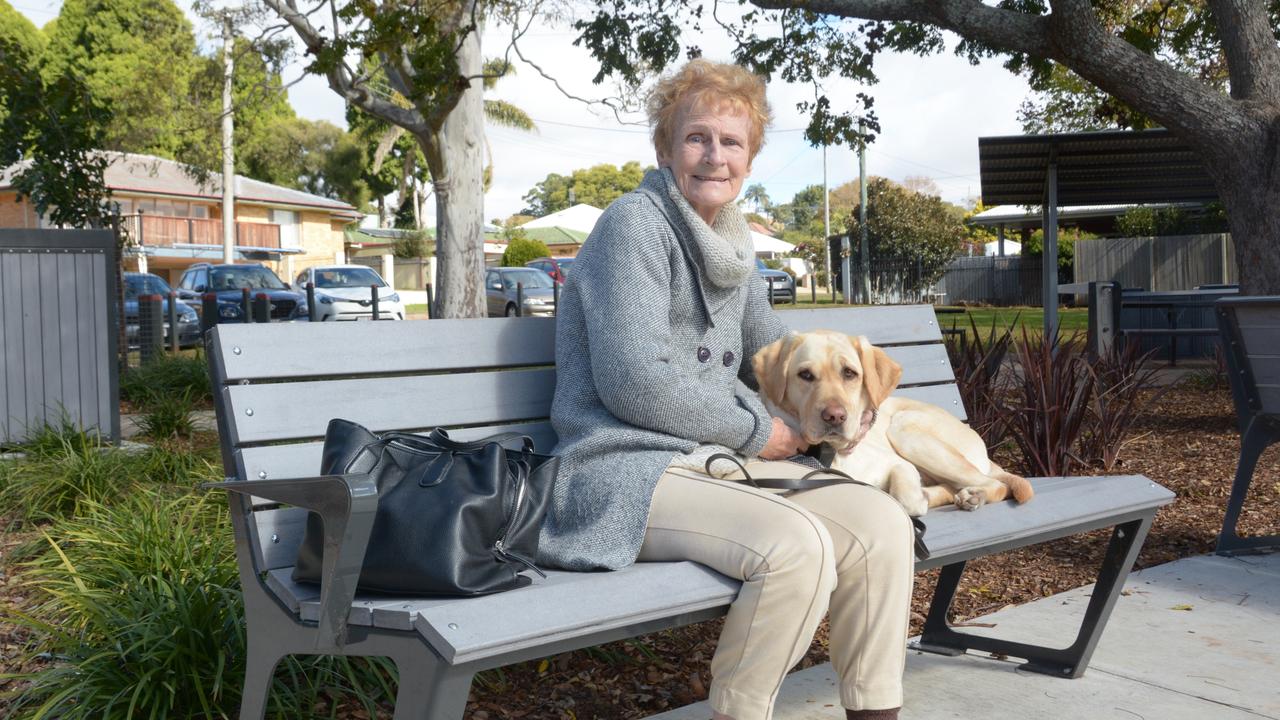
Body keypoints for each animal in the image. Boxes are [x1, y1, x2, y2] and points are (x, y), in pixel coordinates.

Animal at [752, 330, 1034, 515]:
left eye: (849, 373)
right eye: (805, 375)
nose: (835, 416)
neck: (832, 454)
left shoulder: (898, 464)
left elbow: (906, 500)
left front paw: (921, 496)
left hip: (905, 430)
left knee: (995, 484)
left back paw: (974, 495)